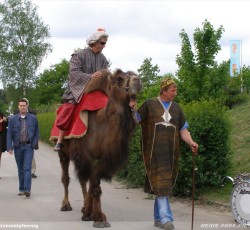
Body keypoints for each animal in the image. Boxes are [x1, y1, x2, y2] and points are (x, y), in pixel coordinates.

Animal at [56, 69, 143, 227]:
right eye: (119, 79)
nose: (138, 81)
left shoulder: (103, 158)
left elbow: (94, 184)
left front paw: (93, 214)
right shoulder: (86, 155)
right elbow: (93, 185)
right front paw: (96, 217)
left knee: (83, 180)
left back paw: (84, 207)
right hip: (63, 154)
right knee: (66, 178)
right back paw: (66, 205)